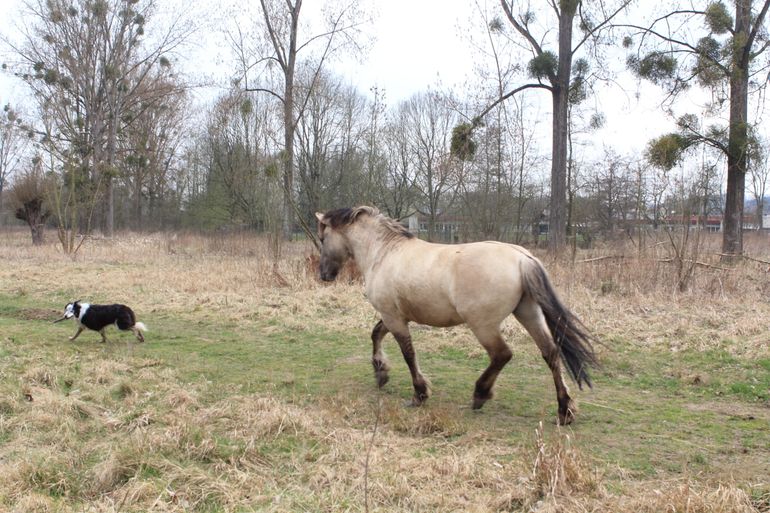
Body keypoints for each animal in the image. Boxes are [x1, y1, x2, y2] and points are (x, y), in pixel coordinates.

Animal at [316, 204, 596, 424]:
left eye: (322, 238)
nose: (324, 274)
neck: (383, 253)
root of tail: (522, 258)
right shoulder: (393, 316)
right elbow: (376, 334)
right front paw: (381, 373)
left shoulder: (394, 317)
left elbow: (408, 354)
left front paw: (419, 394)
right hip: (528, 314)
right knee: (550, 353)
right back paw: (564, 410)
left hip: (483, 325)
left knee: (502, 355)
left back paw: (480, 395)